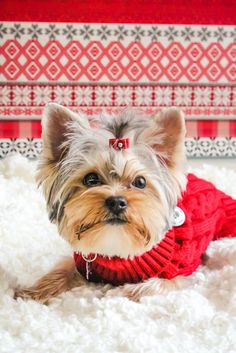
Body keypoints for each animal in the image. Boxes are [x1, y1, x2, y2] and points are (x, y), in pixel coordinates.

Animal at [16, 103, 236, 302]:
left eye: (140, 182)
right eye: (91, 179)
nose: (116, 202)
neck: (118, 250)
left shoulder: (182, 271)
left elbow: (156, 284)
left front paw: (118, 292)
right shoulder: (83, 261)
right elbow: (63, 268)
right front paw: (34, 290)